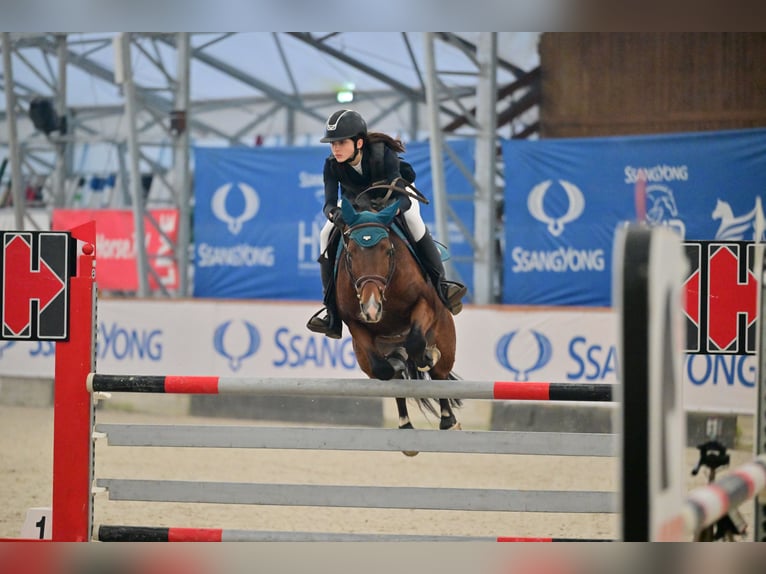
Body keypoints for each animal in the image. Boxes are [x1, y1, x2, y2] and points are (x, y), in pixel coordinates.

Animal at [334, 195, 462, 460]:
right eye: (350, 253)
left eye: (388, 250)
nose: (371, 308)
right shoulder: (355, 323)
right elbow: (384, 370)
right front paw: (397, 363)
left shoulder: (424, 303)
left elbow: (416, 343)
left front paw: (426, 357)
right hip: (364, 355)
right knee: (393, 376)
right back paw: (405, 426)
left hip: (445, 336)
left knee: (440, 373)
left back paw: (448, 420)